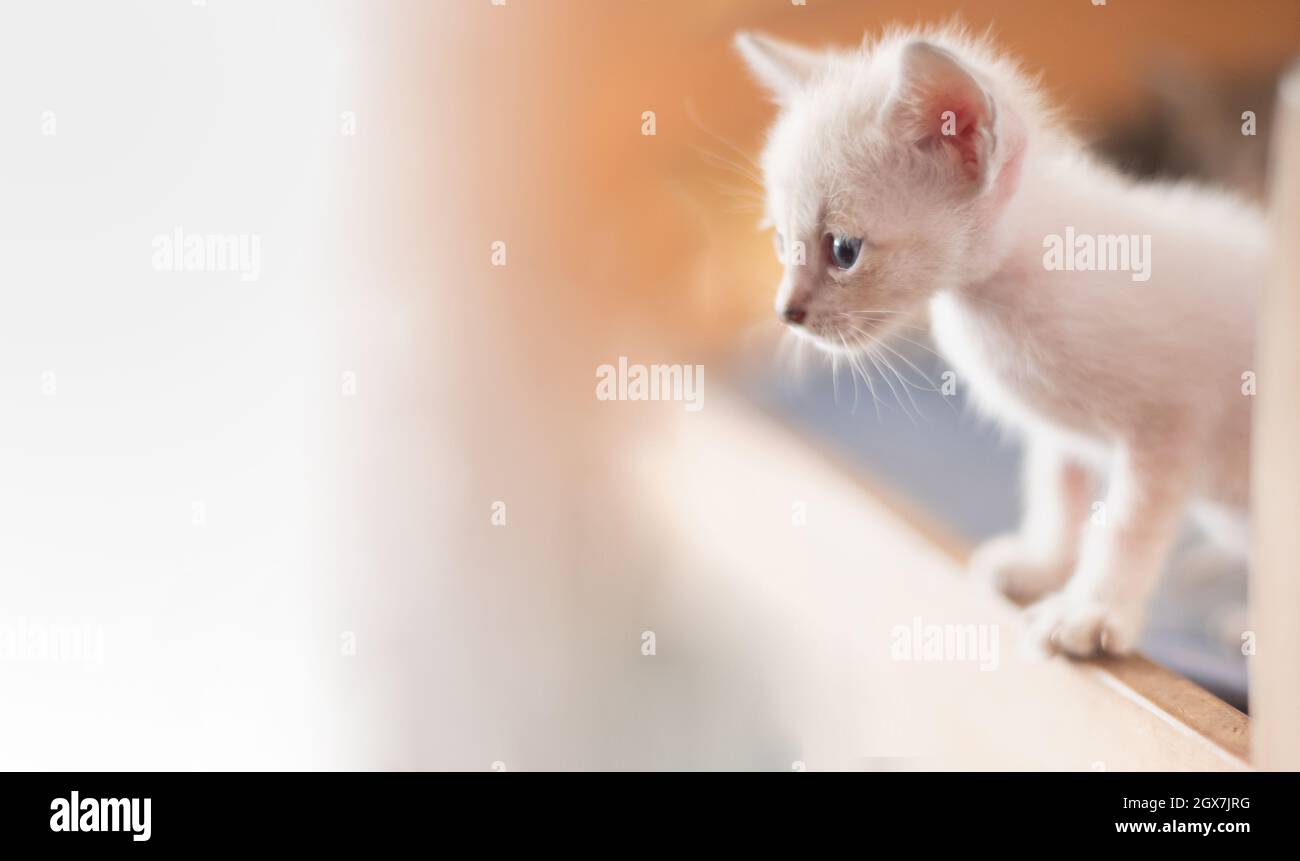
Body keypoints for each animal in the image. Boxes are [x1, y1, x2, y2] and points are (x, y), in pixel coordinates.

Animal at [738, 26, 1263, 660]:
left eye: (843, 250)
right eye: (780, 240)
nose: (785, 312)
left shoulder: (1168, 427)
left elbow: (1127, 524)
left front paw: (1092, 611)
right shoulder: (1061, 429)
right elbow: (1058, 488)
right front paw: (1043, 565)